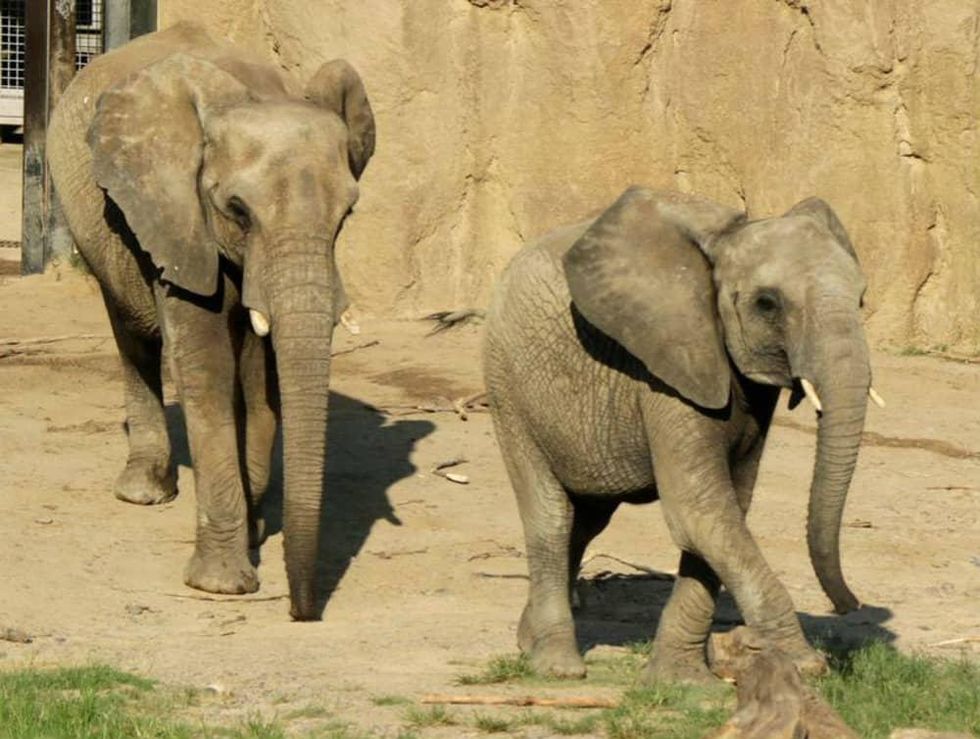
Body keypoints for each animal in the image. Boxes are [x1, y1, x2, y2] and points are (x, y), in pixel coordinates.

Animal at [46, 22, 375, 621]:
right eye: (238, 210)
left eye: (347, 215)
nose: (302, 612)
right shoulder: (176, 215)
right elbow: (207, 367)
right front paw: (222, 584)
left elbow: (264, 377)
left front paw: (256, 532)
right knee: (132, 335)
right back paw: (144, 491)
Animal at [483, 187, 883, 682]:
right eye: (767, 303)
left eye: (861, 300)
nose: (851, 605)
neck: (724, 243)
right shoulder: (668, 366)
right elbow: (699, 510)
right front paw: (805, 664)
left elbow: (724, 512)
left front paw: (683, 681)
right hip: (508, 385)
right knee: (551, 516)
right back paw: (558, 666)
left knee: (588, 517)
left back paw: (527, 641)